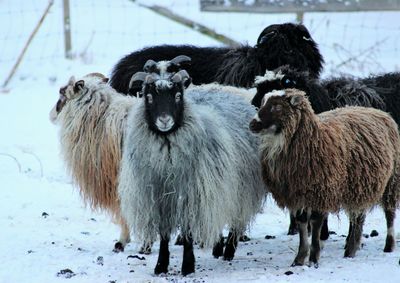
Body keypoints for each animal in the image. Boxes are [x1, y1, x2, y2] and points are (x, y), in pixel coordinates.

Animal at [117, 68, 266, 276]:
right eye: (149, 97)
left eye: (178, 96)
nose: (165, 120)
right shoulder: (161, 199)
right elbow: (164, 234)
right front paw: (161, 266)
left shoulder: (191, 195)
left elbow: (187, 232)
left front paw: (188, 266)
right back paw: (217, 248)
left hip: (242, 189)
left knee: (237, 220)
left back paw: (229, 251)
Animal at [250, 89, 400, 268]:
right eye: (263, 102)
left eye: (277, 106)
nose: (252, 124)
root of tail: (380, 111)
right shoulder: (298, 193)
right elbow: (302, 224)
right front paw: (299, 258)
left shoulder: (321, 190)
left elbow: (315, 224)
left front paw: (313, 258)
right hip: (359, 184)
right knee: (358, 217)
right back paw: (351, 249)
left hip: (391, 180)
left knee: (389, 214)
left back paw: (388, 245)